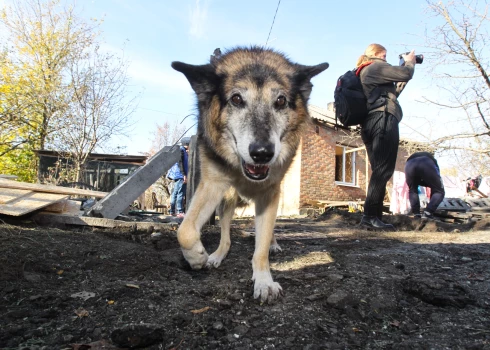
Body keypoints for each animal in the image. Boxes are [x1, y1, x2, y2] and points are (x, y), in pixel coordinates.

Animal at [172, 46, 330, 302]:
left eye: (280, 100)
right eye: (236, 99)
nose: (263, 153)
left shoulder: (269, 194)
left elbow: (261, 247)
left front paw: (264, 281)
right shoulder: (212, 184)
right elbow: (184, 230)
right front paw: (197, 257)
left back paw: (273, 244)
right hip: (227, 200)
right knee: (226, 235)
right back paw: (217, 255)